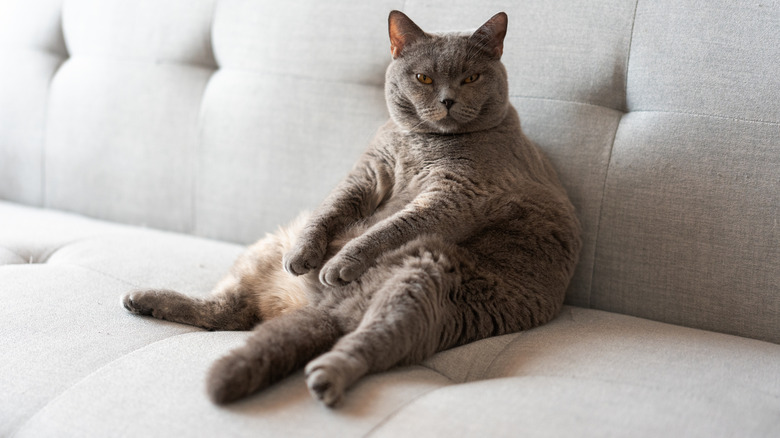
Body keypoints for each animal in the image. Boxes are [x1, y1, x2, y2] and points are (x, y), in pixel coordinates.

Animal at [122, 10, 580, 408]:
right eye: (424, 77)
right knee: (229, 312)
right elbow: (332, 207)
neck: (419, 145)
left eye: (471, 77)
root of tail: (323, 308)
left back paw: (328, 375)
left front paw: (340, 262)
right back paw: (145, 299)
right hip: (265, 247)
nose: (448, 100)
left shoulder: (457, 195)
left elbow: (393, 226)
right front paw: (306, 256)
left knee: (366, 341)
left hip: (426, 282)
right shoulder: (369, 173)